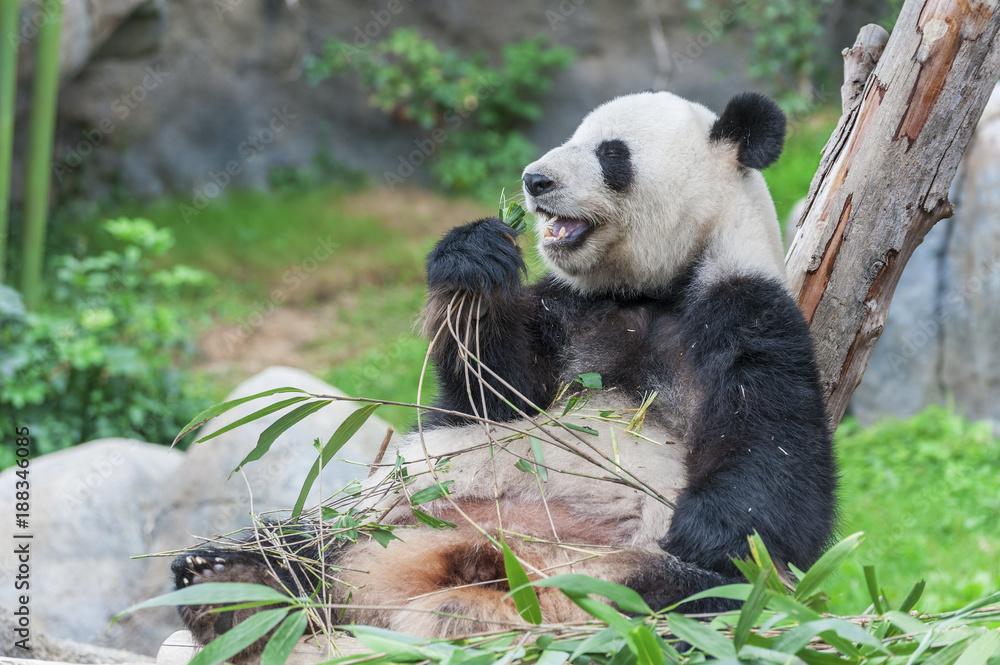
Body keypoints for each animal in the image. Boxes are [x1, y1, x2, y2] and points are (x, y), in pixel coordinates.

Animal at [172, 90, 836, 656]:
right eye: (569, 137)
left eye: (611, 154)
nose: (534, 180)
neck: (651, 291)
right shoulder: (570, 312)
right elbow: (493, 395)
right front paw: (475, 259)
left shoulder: (747, 310)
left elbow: (774, 462)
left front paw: (705, 533)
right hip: (391, 516)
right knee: (306, 548)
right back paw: (225, 585)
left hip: (619, 583)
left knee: (683, 603)